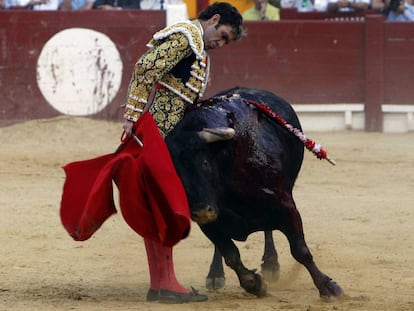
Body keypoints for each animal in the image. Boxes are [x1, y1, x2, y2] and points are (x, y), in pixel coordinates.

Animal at [165, 86, 342, 298]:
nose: (201, 211)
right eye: (173, 172)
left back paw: (271, 264)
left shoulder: (286, 206)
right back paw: (215, 275)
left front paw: (329, 287)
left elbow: (300, 250)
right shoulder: (209, 224)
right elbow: (231, 255)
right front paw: (253, 284)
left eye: (205, 163)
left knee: (269, 231)